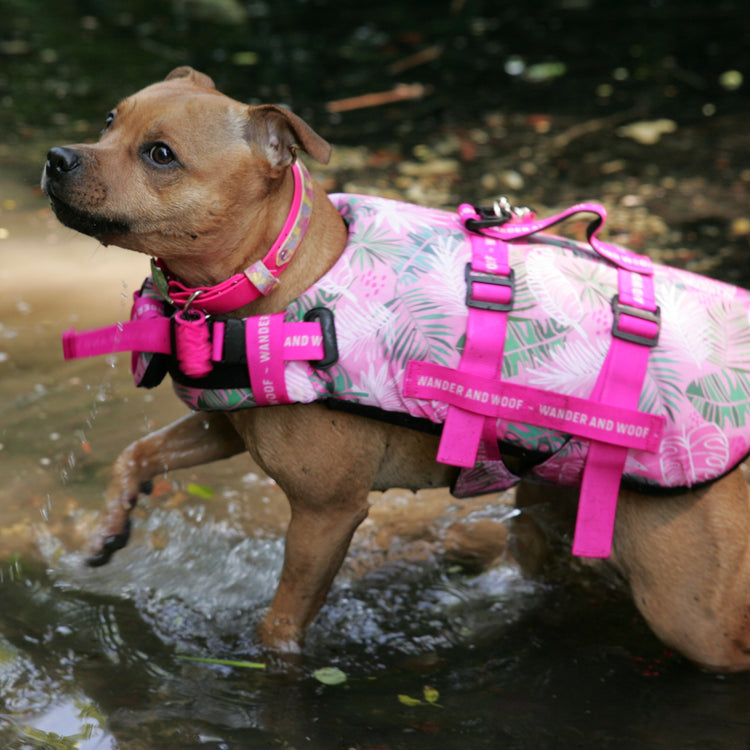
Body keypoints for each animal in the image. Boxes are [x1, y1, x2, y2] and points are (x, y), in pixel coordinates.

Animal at [42, 67, 750, 672]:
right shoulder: (230, 424)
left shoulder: (326, 514)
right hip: (552, 493)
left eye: (160, 154)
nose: (56, 157)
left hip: (686, 605)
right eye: (109, 120)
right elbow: (138, 453)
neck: (278, 270)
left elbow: (280, 625)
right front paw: (109, 528)